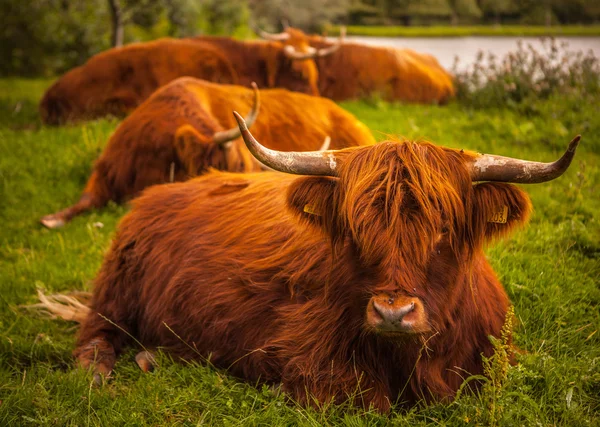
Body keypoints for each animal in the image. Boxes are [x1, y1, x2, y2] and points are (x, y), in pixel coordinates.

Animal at [37, 110, 580, 412]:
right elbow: (364, 402)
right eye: (356, 230)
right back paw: (102, 374)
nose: (394, 313)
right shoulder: (311, 363)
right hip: (116, 289)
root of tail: (158, 194)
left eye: (444, 229)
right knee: (94, 337)